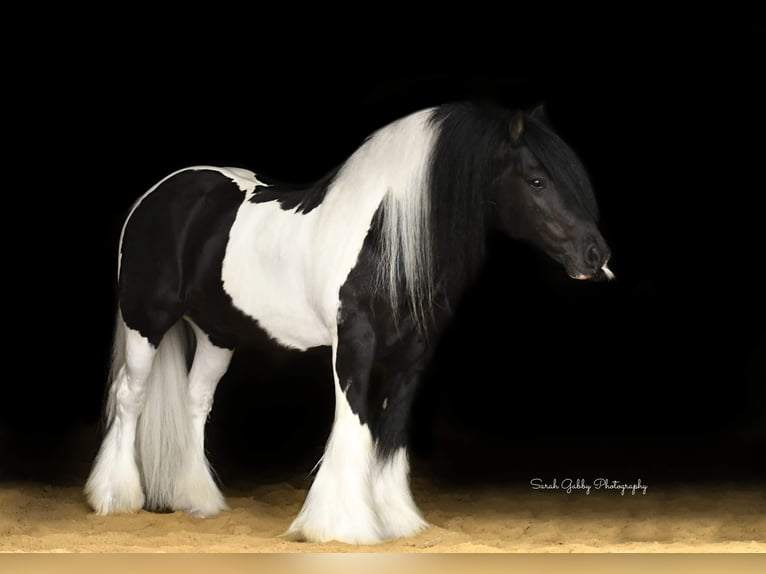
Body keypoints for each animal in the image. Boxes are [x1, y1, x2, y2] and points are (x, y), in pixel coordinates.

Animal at [84, 101, 616, 548]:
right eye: (537, 181)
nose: (596, 256)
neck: (388, 238)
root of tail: (159, 194)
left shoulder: (412, 355)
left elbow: (391, 430)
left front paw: (396, 519)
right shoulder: (355, 343)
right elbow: (354, 422)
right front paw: (339, 525)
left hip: (219, 334)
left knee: (196, 403)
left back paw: (196, 499)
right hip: (146, 322)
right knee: (130, 398)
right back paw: (114, 496)